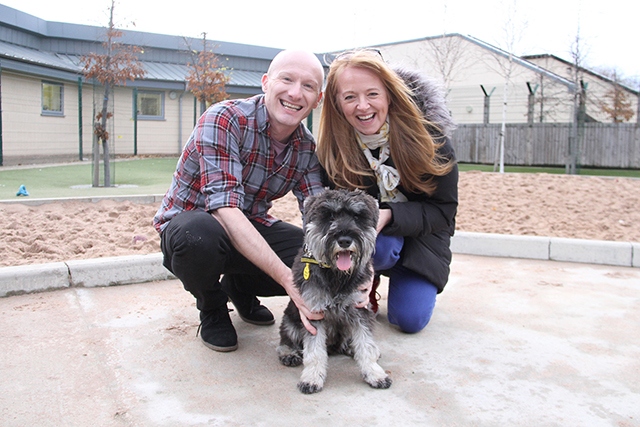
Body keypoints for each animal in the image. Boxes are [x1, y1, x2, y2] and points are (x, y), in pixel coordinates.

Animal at [278, 189, 392, 396]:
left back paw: (350, 348)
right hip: (291, 321)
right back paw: (289, 353)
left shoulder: (360, 309)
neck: (337, 275)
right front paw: (311, 378)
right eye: (330, 216)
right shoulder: (313, 313)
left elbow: (366, 344)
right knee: (286, 338)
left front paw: (375, 374)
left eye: (357, 217)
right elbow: (314, 351)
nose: (345, 240)